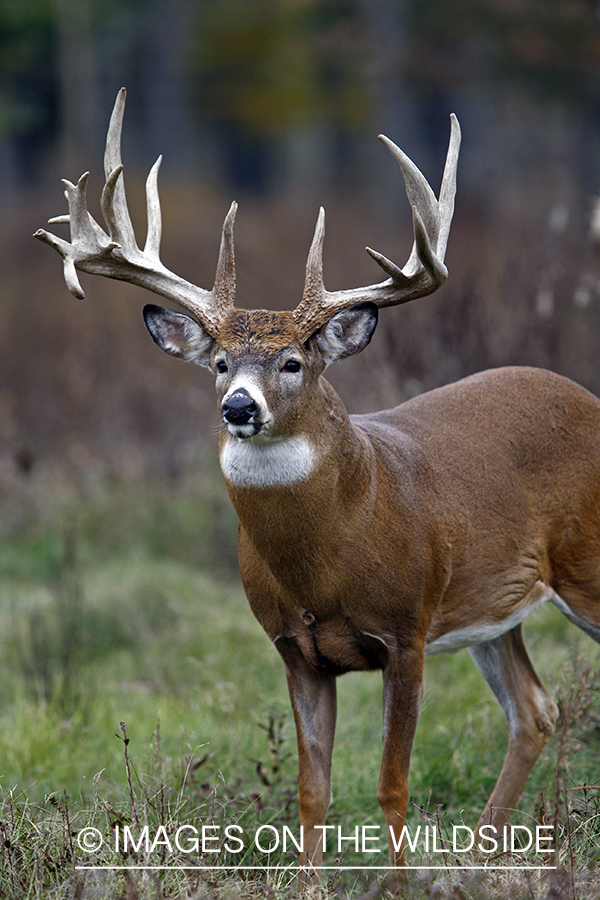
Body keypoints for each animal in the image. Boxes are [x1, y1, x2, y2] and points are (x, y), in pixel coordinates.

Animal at [35, 88, 600, 888]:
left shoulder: (405, 630)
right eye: (218, 362)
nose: (238, 407)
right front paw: (312, 884)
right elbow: (312, 787)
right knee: (536, 709)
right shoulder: (293, 648)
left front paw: (398, 886)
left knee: (534, 707)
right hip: (493, 605)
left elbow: (392, 783)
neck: (327, 560)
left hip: (583, 567)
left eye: (294, 361)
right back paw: (476, 859)